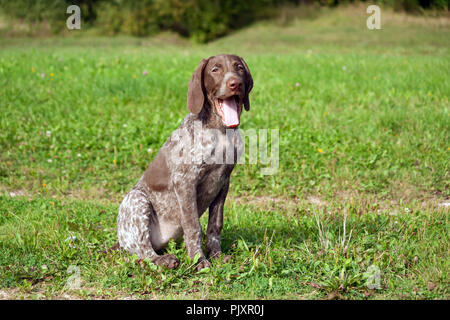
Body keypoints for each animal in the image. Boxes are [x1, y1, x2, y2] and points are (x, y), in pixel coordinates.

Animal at [114, 55, 253, 270]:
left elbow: (215, 224)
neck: (220, 131)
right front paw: (199, 261)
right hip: (136, 200)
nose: (235, 83)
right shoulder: (185, 181)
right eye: (215, 70)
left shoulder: (224, 181)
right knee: (143, 250)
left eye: (239, 68)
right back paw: (163, 260)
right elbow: (193, 225)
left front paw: (216, 255)